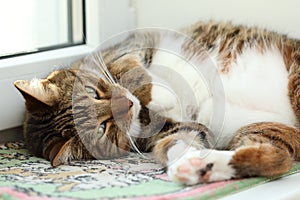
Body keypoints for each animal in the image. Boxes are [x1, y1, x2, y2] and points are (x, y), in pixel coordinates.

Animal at [15, 21, 300, 185]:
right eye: (102, 129)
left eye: (92, 92)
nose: (127, 105)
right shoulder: (173, 130)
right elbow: (177, 142)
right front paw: (187, 160)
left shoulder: (131, 47)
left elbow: (132, 69)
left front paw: (163, 96)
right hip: (263, 128)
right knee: (277, 158)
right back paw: (203, 168)